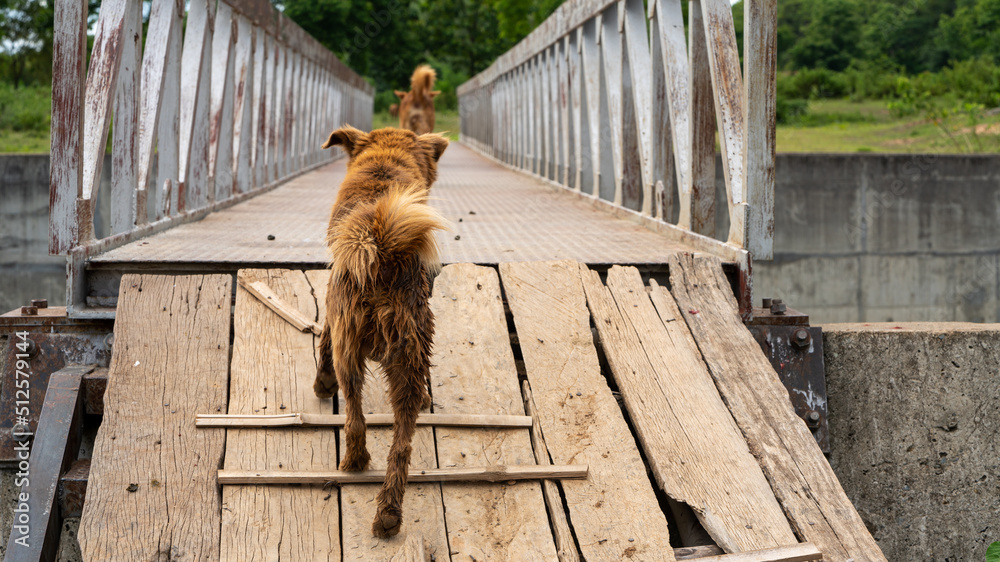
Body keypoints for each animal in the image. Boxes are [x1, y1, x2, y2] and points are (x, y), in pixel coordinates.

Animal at [316, 124, 450, 536]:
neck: (385, 163)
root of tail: (383, 251)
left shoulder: (332, 304)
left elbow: (323, 334)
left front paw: (321, 382)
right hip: (408, 351)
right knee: (395, 439)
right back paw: (387, 511)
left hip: (356, 346)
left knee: (357, 418)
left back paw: (360, 468)